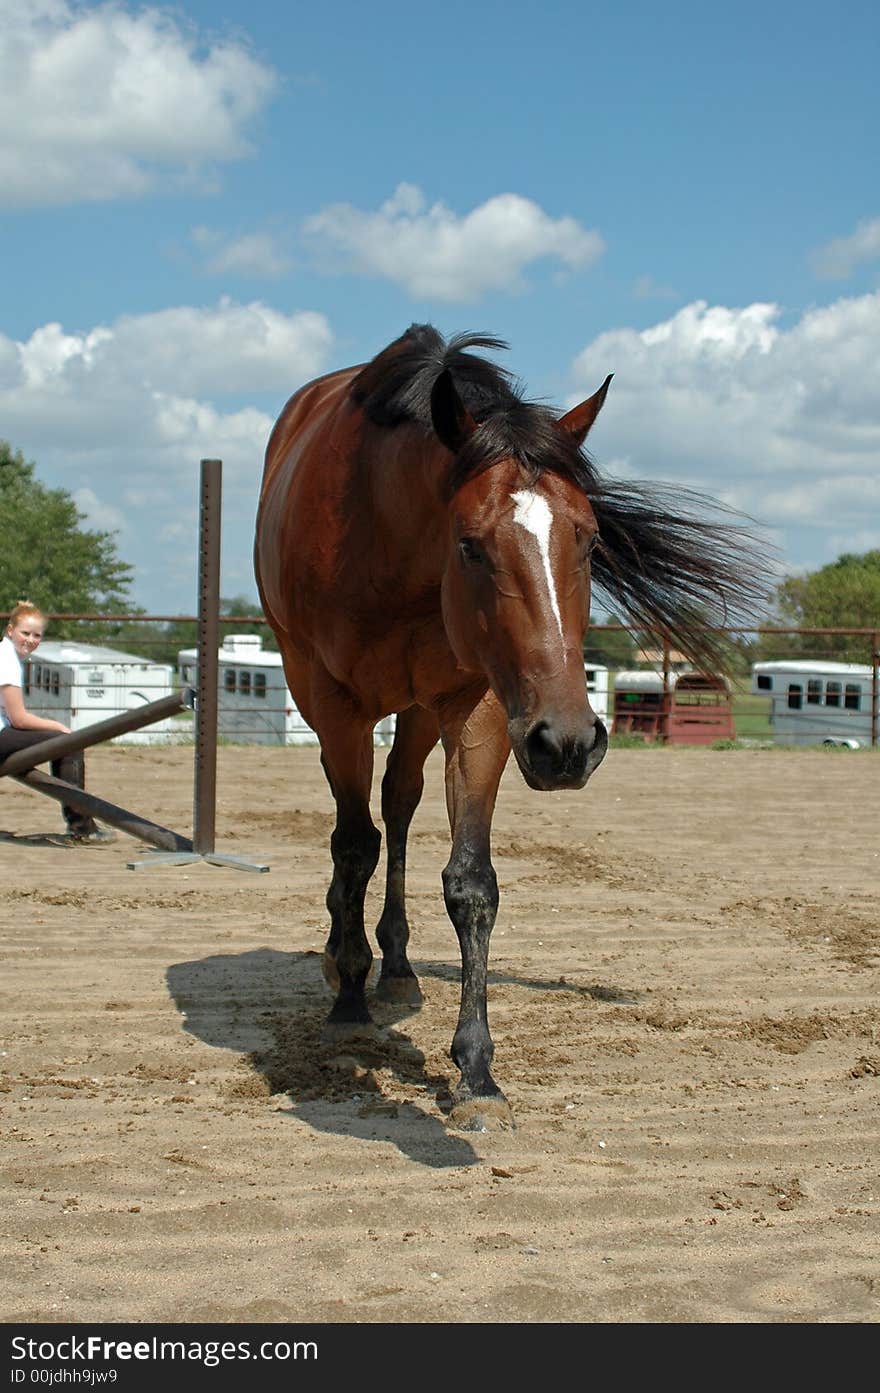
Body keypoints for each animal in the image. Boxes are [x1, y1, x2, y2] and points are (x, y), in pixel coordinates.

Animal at [254, 325, 763, 1131]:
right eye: (470, 543)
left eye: (588, 539)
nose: (569, 744)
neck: (383, 538)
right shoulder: (334, 704)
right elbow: (354, 846)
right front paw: (348, 998)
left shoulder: (481, 706)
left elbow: (471, 884)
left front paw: (476, 1068)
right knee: (358, 829)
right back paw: (348, 962)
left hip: (420, 711)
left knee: (399, 804)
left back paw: (397, 966)